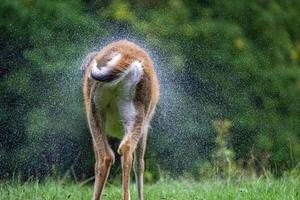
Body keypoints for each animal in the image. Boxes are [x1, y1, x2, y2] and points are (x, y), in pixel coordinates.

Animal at [79, 39, 159, 200]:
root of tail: (124, 57)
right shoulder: (145, 127)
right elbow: (140, 163)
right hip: (134, 113)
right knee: (119, 152)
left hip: (95, 109)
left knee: (109, 155)